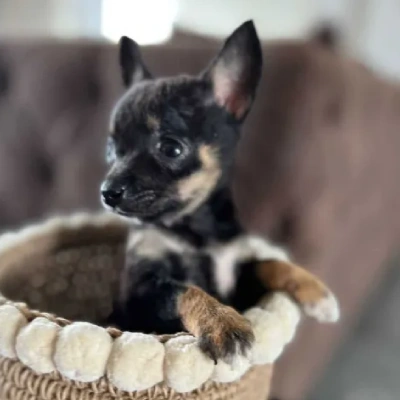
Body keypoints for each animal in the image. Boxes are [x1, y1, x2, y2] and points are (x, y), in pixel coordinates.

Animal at [100, 21, 338, 364]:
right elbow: (187, 290)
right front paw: (223, 323)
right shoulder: (142, 291)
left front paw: (316, 290)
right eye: (111, 150)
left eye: (170, 148)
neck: (198, 230)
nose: (107, 192)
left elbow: (268, 262)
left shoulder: (237, 277)